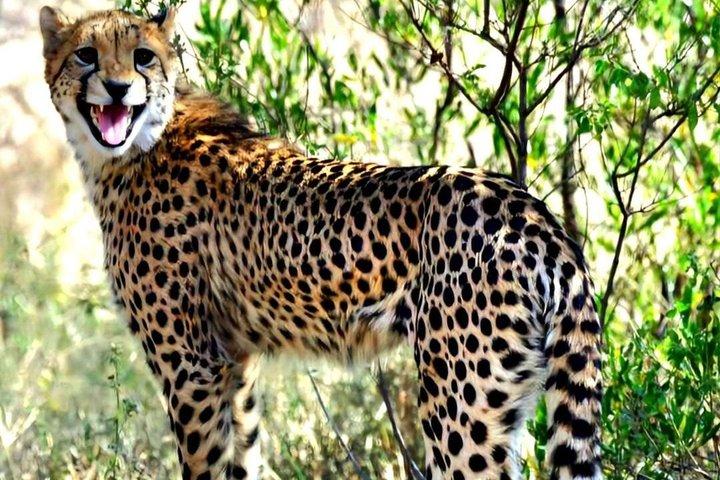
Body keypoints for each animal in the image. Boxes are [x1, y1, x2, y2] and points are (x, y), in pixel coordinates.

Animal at [39, 6, 603, 480]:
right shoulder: (234, 360)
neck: (136, 147)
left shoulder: (190, 365)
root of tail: (528, 208)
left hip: (460, 405)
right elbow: (242, 455)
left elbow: (203, 463)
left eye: (143, 56)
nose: (117, 89)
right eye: (86, 54)